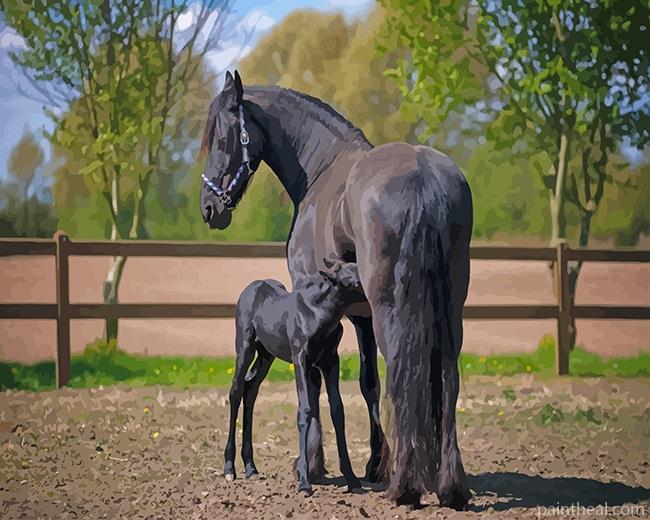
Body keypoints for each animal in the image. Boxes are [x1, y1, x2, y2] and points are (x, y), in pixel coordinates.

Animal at [225, 257, 364, 495]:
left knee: (251, 388)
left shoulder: (331, 361)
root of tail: (251, 287)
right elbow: (305, 410)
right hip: (245, 346)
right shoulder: (300, 359)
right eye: (353, 282)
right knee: (236, 390)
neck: (319, 314)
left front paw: (353, 479)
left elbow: (338, 411)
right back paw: (229, 468)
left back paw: (251, 467)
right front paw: (304, 482)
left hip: (266, 354)